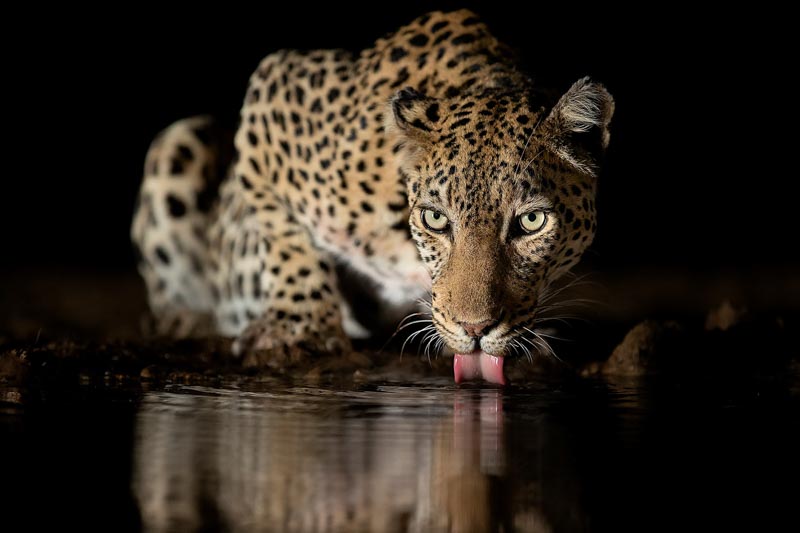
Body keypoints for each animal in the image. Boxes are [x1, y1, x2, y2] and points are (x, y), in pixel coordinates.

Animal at [131, 9, 614, 383]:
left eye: (531, 222)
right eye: (436, 219)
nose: (474, 329)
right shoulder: (273, 95)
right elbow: (285, 234)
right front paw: (301, 329)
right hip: (178, 140)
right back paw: (186, 320)